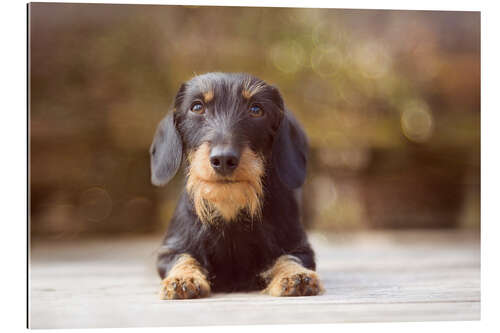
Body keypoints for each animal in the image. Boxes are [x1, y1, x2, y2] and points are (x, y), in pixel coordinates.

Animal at [150, 72, 322, 298]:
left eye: (256, 109)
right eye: (197, 107)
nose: (223, 159)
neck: (229, 208)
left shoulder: (300, 248)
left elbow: (289, 257)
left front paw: (295, 275)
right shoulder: (170, 249)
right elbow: (183, 257)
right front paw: (182, 278)